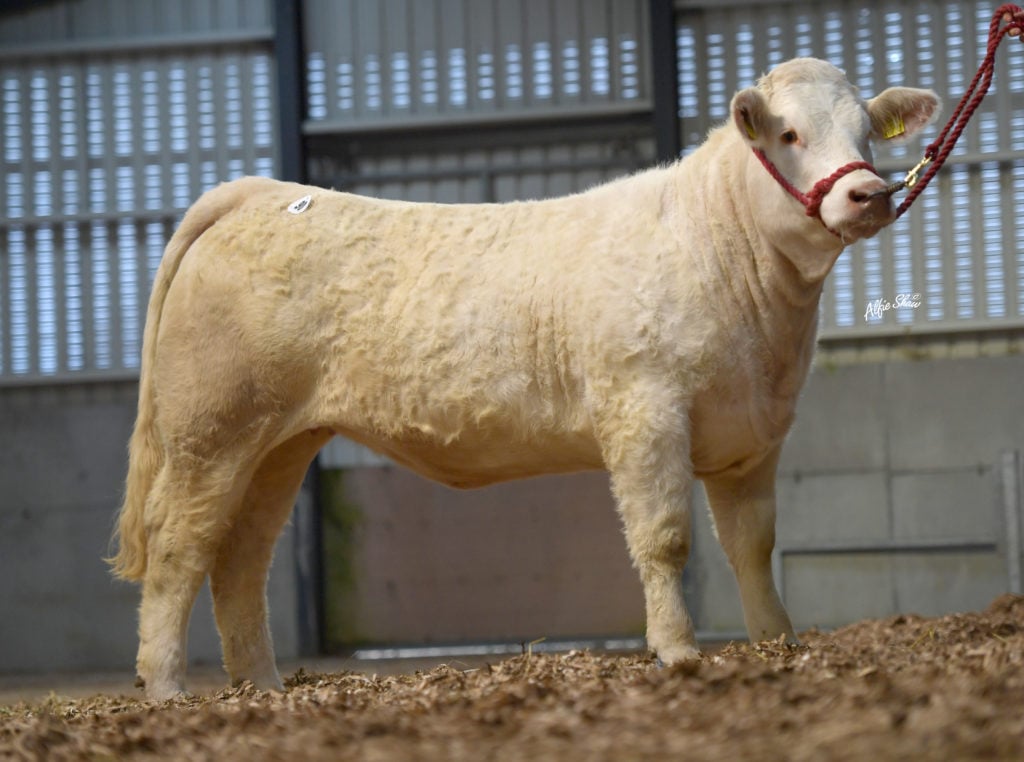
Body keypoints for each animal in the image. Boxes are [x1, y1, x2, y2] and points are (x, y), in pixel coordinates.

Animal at [109, 58, 940, 700]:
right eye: (791, 134)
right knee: (179, 545)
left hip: (280, 441)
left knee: (240, 557)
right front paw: (676, 652)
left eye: (867, 133)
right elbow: (665, 538)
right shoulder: (644, 410)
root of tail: (260, 192)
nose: (869, 193)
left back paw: (262, 686)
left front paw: (778, 646)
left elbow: (752, 546)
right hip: (211, 430)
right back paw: (168, 686)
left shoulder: (754, 436)